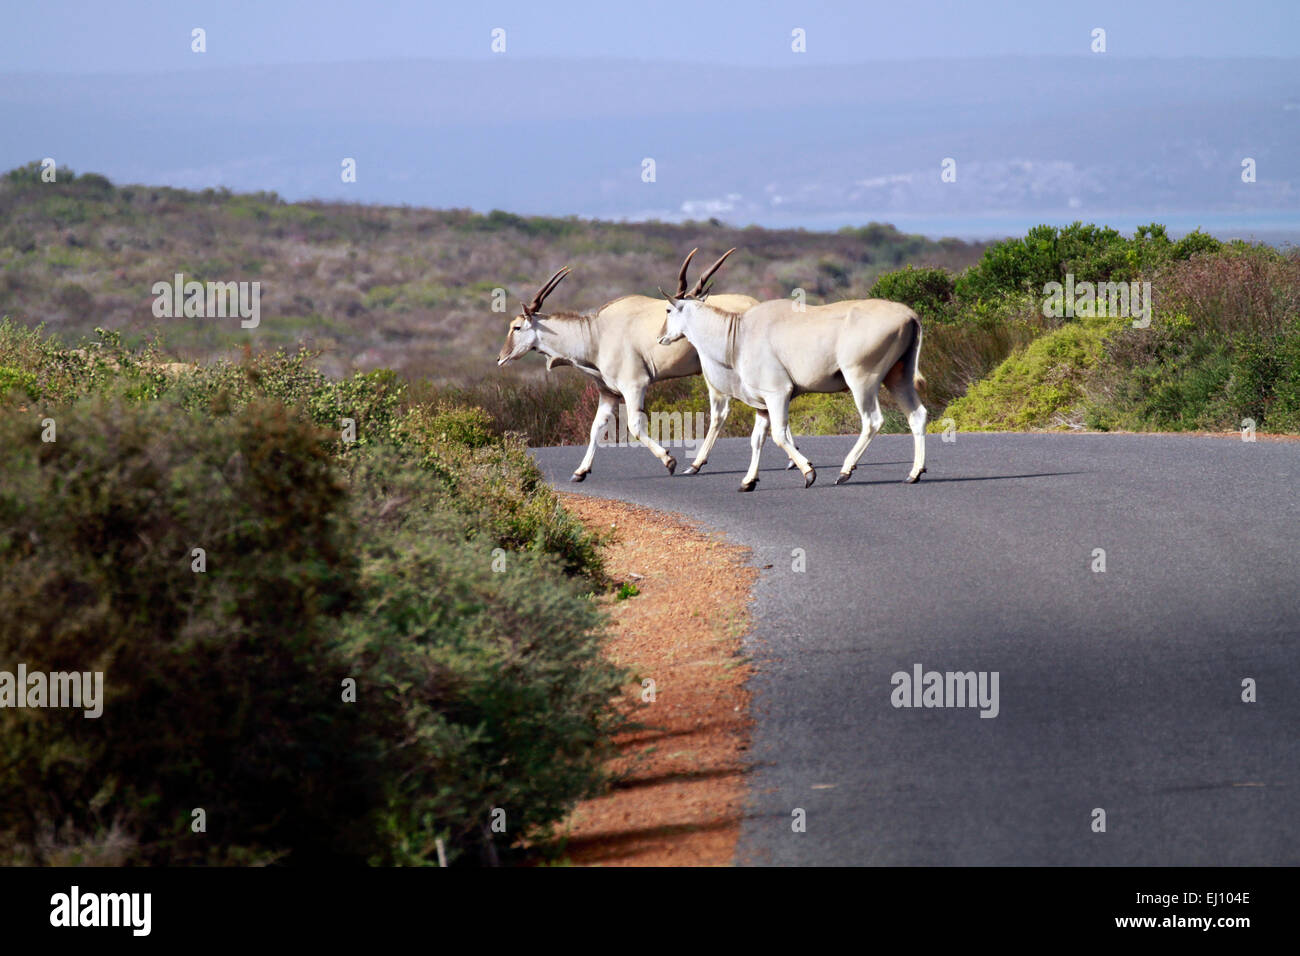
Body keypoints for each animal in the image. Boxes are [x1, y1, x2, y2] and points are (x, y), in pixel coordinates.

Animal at [493, 251, 759, 481]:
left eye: (516, 327)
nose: (500, 358)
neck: (596, 333)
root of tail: (754, 305)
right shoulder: (609, 393)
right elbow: (596, 428)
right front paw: (580, 471)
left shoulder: (635, 386)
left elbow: (634, 425)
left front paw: (669, 460)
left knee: (720, 412)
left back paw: (695, 464)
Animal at [655, 270, 930, 494]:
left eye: (668, 310)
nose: (660, 337)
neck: (737, 335)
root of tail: (909, 315)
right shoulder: (763, 406)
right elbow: (757, 439)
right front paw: (748, 481)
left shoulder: (778, 394)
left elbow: (778, 435)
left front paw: (809, 472)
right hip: (898, 378)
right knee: (917, 415)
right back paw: (914, 473)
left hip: (861, 380)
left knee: (872, 420)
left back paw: (845, 471)